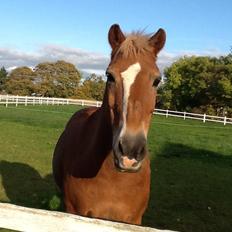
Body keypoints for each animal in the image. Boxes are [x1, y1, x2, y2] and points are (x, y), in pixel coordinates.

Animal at [52, 24, 165, 225]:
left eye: (157, 80)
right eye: (110, 76)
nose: (130, 150)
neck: (114, 180)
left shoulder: (134, 221)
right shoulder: (74, 213)